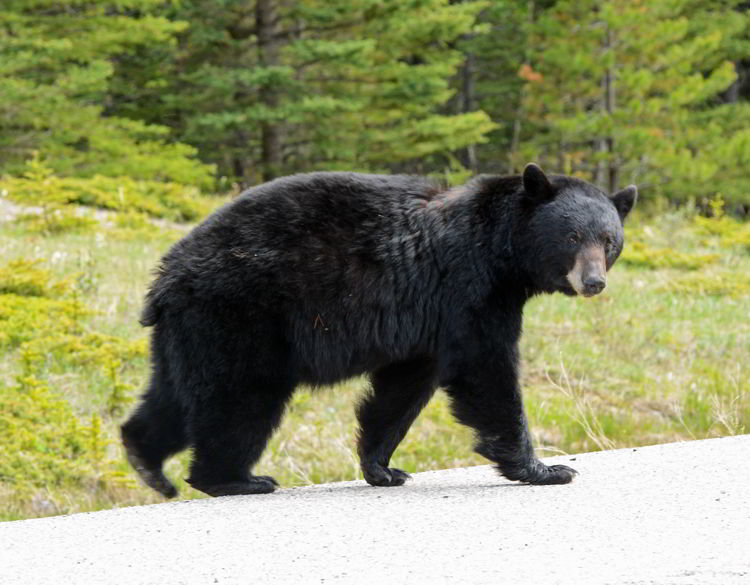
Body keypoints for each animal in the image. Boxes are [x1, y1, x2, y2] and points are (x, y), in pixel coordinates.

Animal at [120, 164, 636, 498]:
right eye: (572, 236)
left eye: (609, 241)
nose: (593, 281)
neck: (501, 251)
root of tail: (166, 277)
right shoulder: (467, 289)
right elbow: (486, 371)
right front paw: (545, 468)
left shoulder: (427, 322)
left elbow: (401, 388)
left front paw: (382, 467)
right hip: (240, 314)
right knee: (238, 397)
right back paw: (235, 479)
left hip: (188, 330)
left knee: (173, 396)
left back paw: (148, 462)